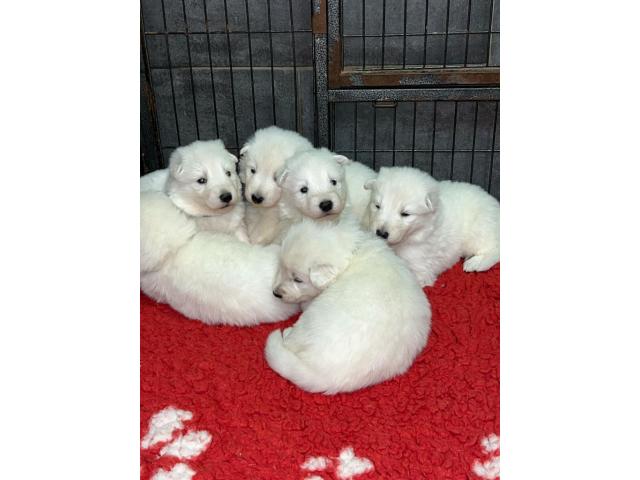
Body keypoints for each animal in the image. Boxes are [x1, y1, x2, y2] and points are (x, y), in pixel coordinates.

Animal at [262, 219, 432, 392]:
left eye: (298, 279)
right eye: (280, 266)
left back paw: (288, 332)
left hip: (313, 317)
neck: (350, 255)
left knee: (292, 340)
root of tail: (324, 376)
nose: (276, 293)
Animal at [364, 166, 500, 284]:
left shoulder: (419, 267)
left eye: (405, 214)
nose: (381, 233)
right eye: (377, 206)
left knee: (495, 249)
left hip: (480, 230)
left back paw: (476, 263)